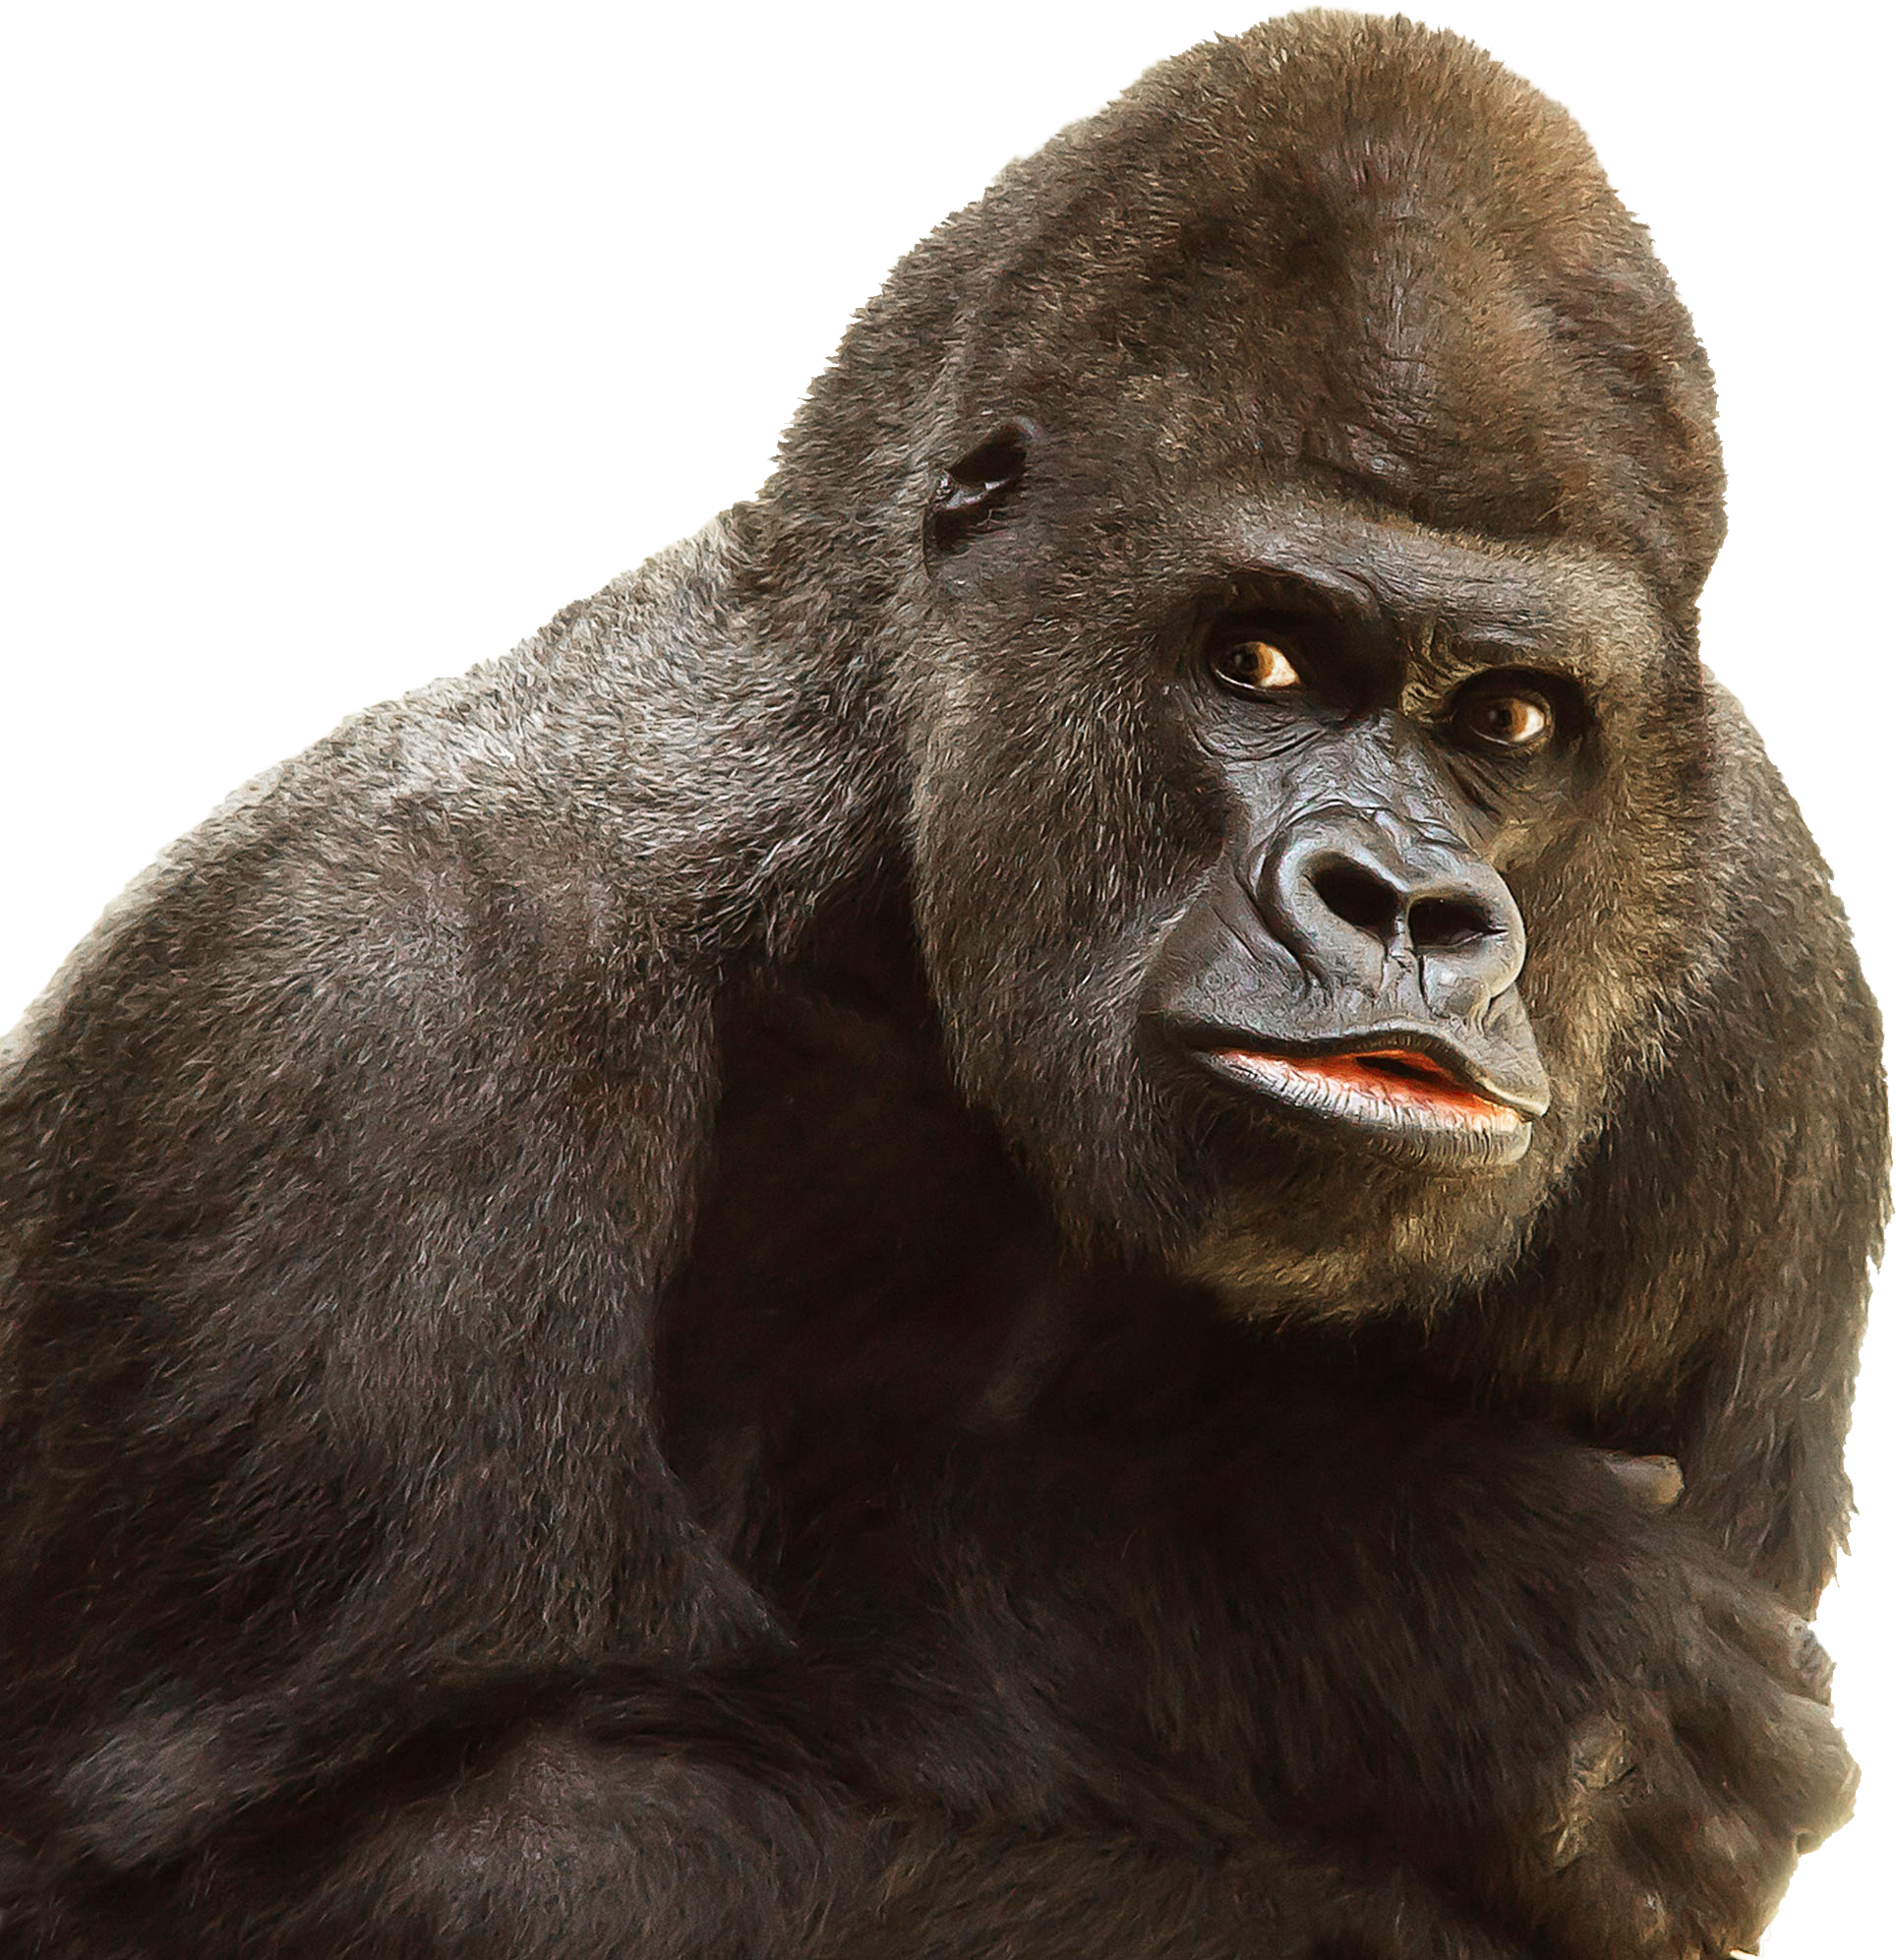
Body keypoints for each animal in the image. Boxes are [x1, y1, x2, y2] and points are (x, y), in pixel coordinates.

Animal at [0, 11, 1884, 1959]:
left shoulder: (1768, 1007)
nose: (1406, 906)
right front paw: (1382, 1600)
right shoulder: (366, 1001)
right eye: (1258, 660)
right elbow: (339, 1850)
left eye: (1508, 718)